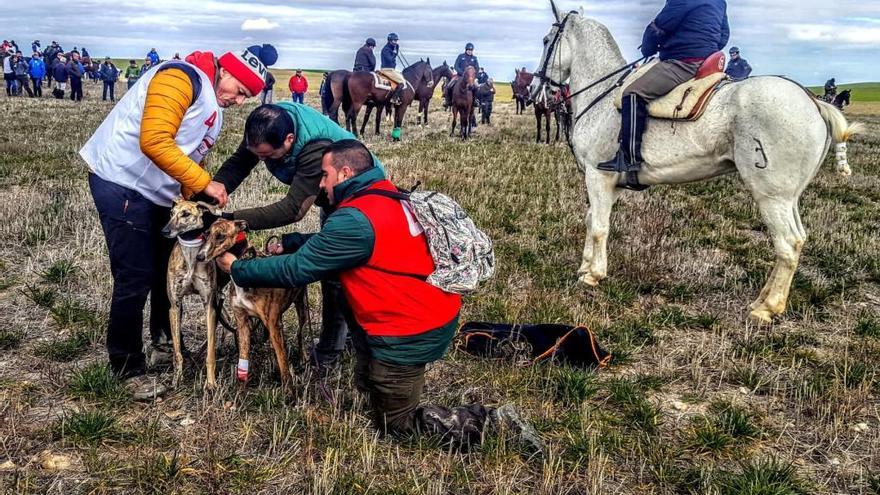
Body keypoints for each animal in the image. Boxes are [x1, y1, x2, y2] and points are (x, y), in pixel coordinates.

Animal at [536, 1, 860, 324]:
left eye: (545, 40)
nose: (538, 90)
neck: (601, 98)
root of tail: (813, 102)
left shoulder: (597, 176)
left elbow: (600, 226)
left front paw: (593, 274)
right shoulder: (610, 183)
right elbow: (592, 219)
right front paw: (585, 266)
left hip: (772, 196)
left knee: (788, 243)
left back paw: (766, 308)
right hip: (789, 196)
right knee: (797, 240)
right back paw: (763, 299)